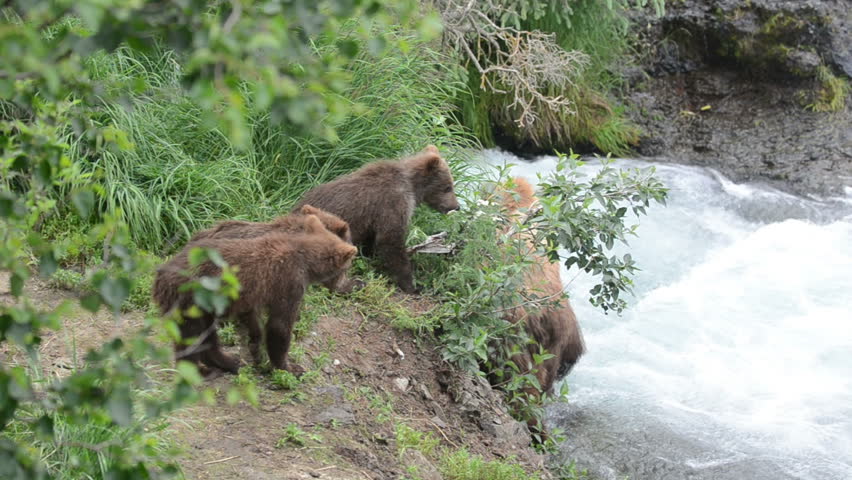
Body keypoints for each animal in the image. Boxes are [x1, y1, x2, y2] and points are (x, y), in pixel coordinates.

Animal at [153, 214, 357, 376]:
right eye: (347, 265)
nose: (347, 280)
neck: (305, 260)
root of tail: (160, 273)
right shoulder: (288, 282)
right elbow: (279, 326)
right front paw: (290, 367)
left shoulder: (252, 294)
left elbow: (253, 319)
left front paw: (257, 351)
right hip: (188, 299)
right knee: (191, 335)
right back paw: (200, 371)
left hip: (204, 304)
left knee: (207, 334)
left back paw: (229, 362)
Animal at [293, 145, 459, 293]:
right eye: (447, 187)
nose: (456, 206)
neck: (412, 187)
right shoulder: (393, 202)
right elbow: (390, 241)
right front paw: (411, 285)